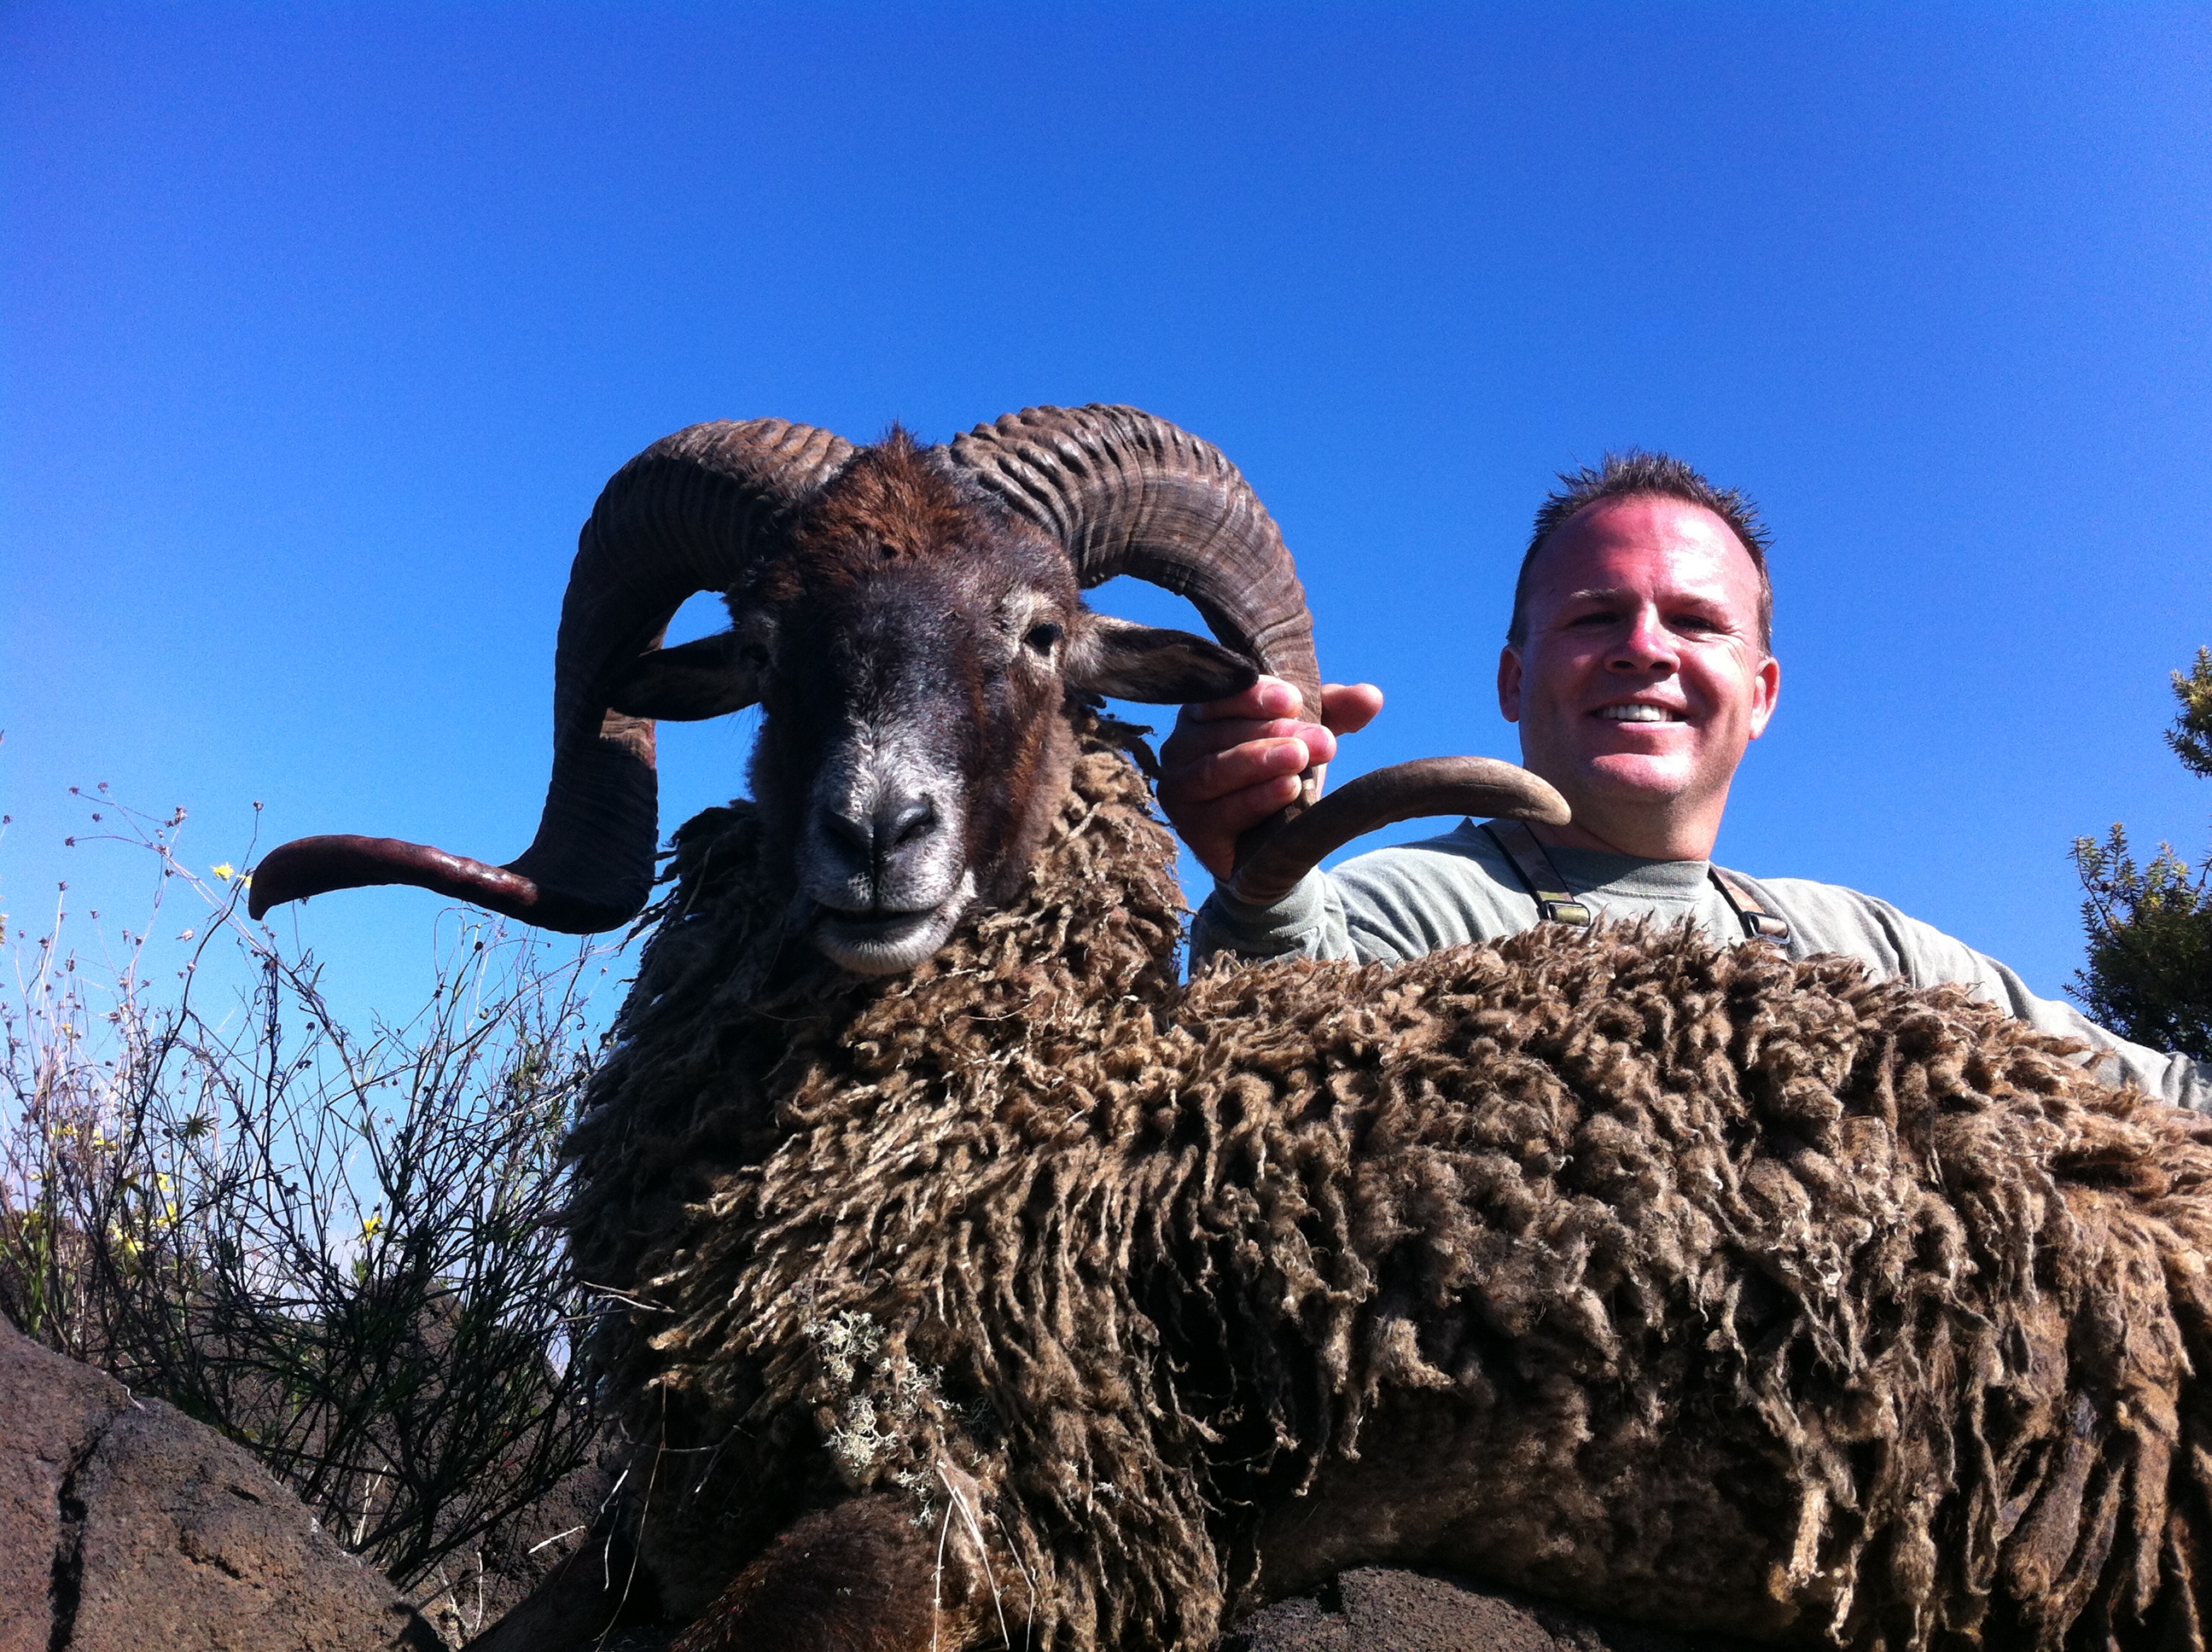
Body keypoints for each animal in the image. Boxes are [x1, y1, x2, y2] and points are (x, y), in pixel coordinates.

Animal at [251, 409, 2212, 1651]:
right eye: (768, 634)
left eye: (1045, 632)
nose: (878, 835)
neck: (1031, 1113)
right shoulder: (663, 1512)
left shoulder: (998, 1518)